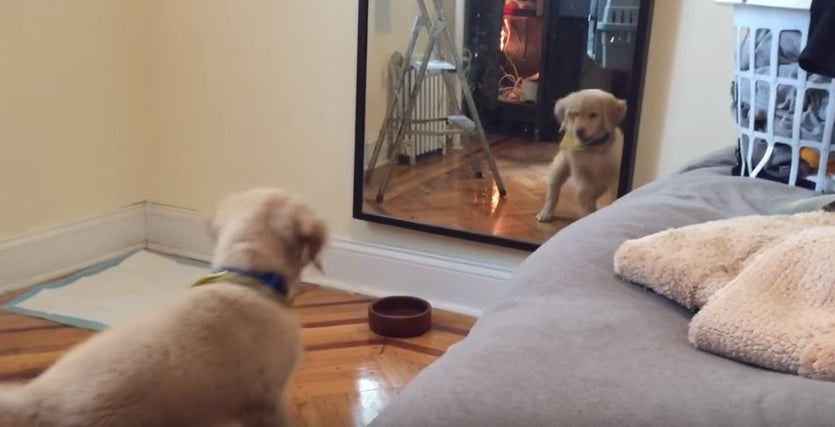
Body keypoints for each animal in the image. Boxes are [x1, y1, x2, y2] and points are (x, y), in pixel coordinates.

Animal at [536, 88, 628, 222]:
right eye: (574, 114)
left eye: (593, 115)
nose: (579, 132)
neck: (594, 148)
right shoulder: (580, 172)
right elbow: (583, 194)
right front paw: (585, 216)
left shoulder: (615, 175)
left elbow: (615, 196)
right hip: (558, 168)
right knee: (553, 194)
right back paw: (545, 213)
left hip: (601, 184)